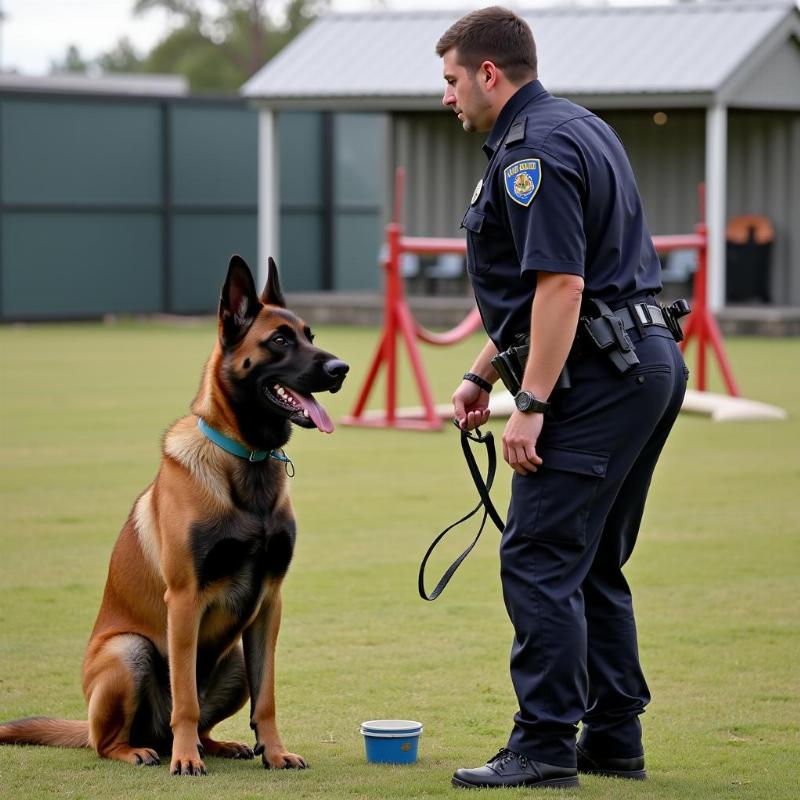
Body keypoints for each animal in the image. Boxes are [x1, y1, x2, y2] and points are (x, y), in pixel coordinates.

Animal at [1, 256, 348, 776]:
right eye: (280, 341)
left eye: (310, 334)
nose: (341, 368)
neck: (246, 461)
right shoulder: (184, 602)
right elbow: (184, 694)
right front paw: (187, 761)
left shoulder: (269, 603)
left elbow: (266, 699)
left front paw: (274, 751)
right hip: (130, 651)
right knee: (114, 738)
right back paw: (148, 750)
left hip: (235, 657)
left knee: (203, 720)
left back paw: (217, 745)